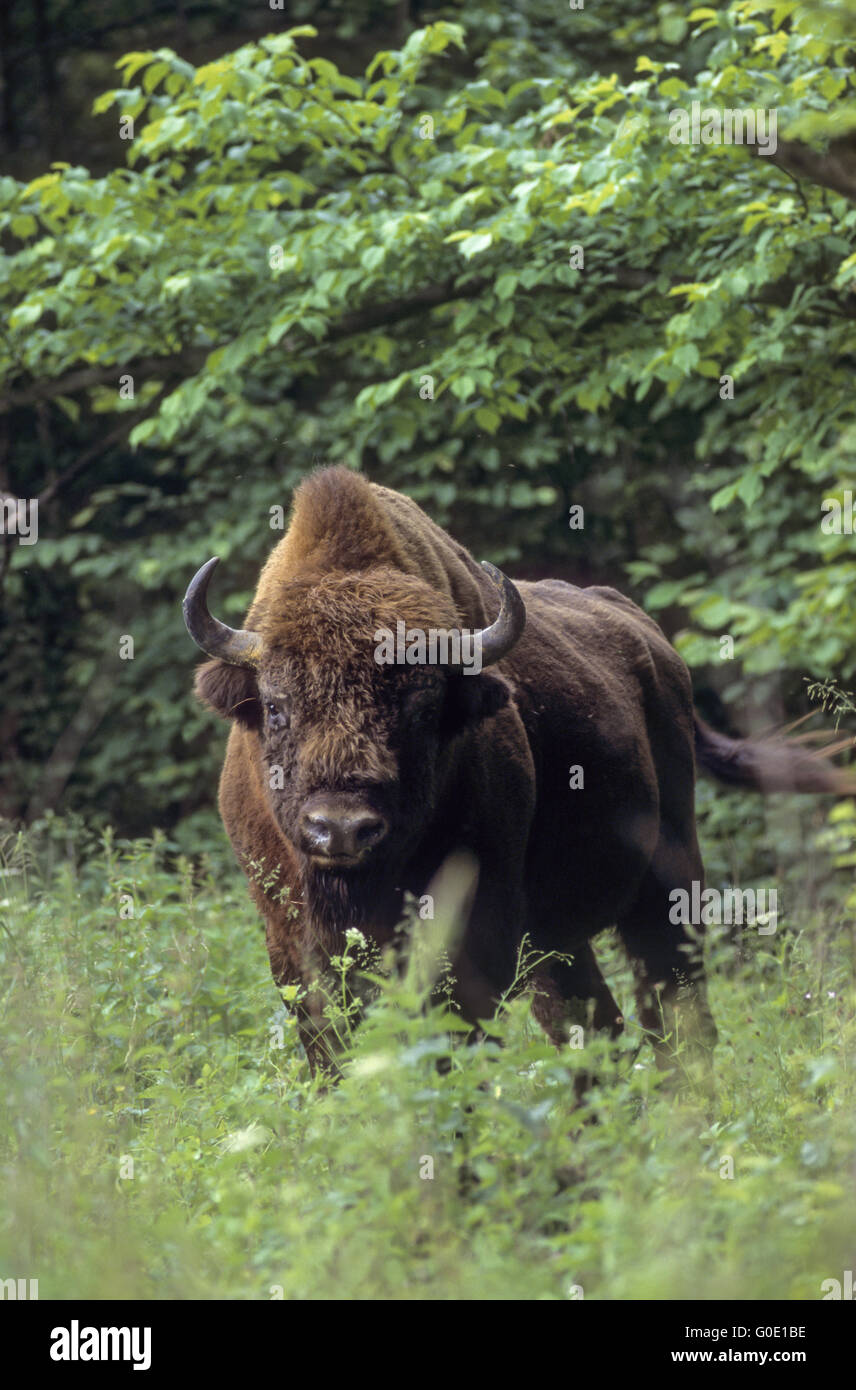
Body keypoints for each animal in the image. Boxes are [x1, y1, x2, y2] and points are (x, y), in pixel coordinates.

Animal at [183, 467, 850, 1073]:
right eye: (275, 706)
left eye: (424, 708)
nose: (341, 828)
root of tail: (656, 646)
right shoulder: (292, 943)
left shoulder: (478, 929)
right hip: (561, 937)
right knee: (597, 1024)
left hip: (668, 882)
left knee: (675, 1011)